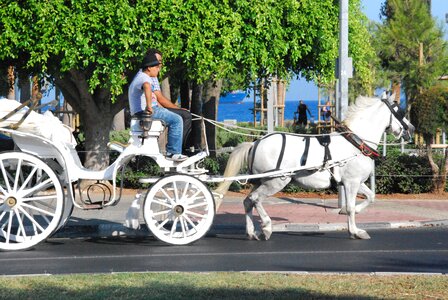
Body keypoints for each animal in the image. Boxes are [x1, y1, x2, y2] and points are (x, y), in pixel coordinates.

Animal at [215, 95, 414, 240]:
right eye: (400, 111)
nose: (411, 128)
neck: (356, 142)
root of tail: (255, 144)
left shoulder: (354, 182)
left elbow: (371, 197)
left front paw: (352, 215)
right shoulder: (351, 183)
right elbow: (350, 207)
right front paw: (355, 231)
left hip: (260, 181)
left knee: (248, 201)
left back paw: (251, 232)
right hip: (275, 182)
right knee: (255, 199)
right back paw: (267, 227)